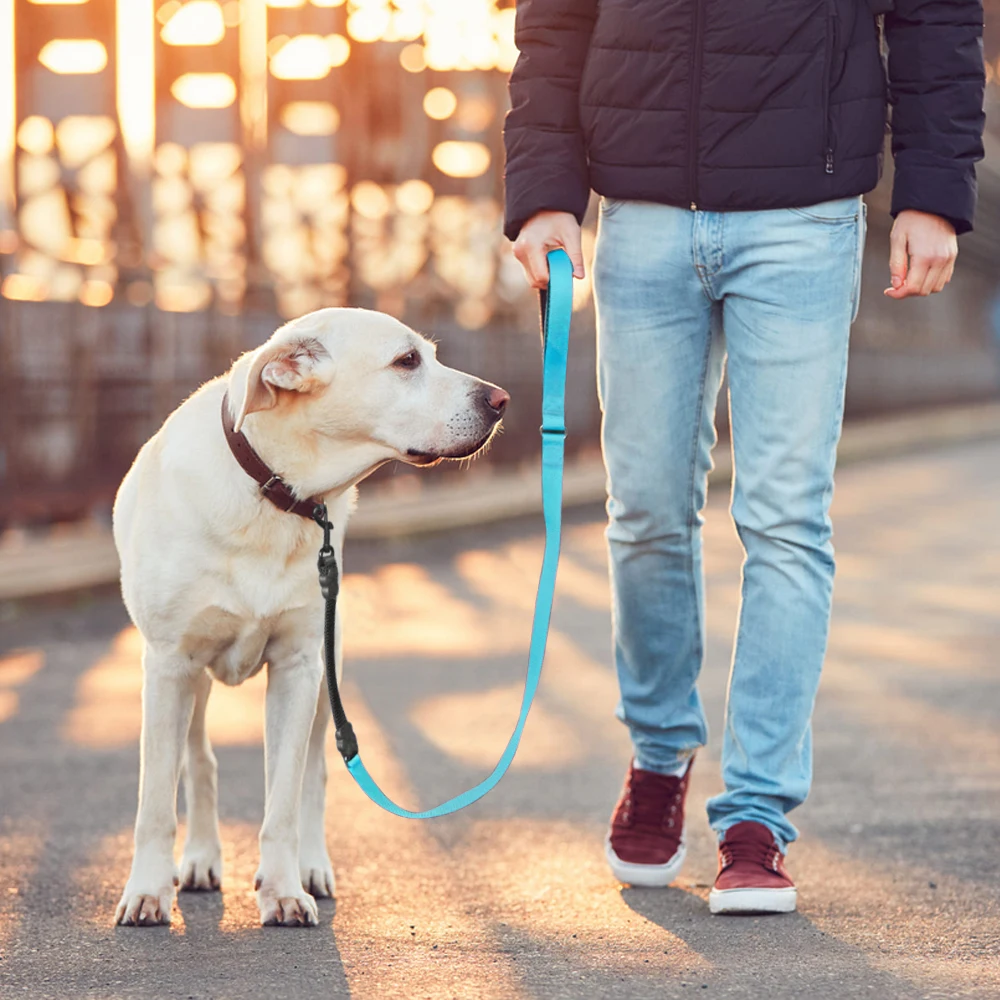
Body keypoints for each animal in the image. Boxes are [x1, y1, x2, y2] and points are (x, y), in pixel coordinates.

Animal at [111, 310, 508, 928]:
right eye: (407, 362)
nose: (501, 400)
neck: (272, 491)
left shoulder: (299, 667)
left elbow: (284, 800)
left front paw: (281, 890)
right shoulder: (169, 666)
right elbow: (155, 799)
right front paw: (148, 890)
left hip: (329, 671)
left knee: (316, 774)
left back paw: (312, 868)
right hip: (192, 681)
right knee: (199, 762)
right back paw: (200, 858)